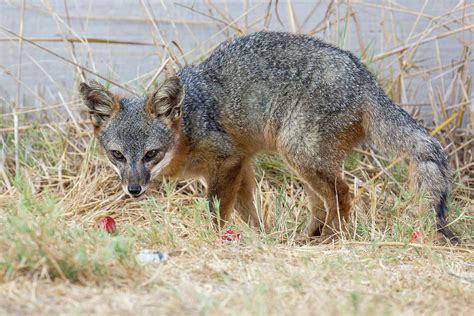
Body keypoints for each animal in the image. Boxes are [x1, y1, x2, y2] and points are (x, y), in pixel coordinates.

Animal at [80, 31, 460, 242]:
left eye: (150, 154)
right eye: (117, 155)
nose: (133, 189)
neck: (187, 126)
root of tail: (365, 78)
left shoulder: (227, 160)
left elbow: (217, 211)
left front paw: (216, 240)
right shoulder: (242, 164)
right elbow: (249, 213)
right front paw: (260, 239)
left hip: (299, 153)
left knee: (342, 194)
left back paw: (332, 239)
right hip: (304, 162)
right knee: (322, 202)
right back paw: (308, 237)